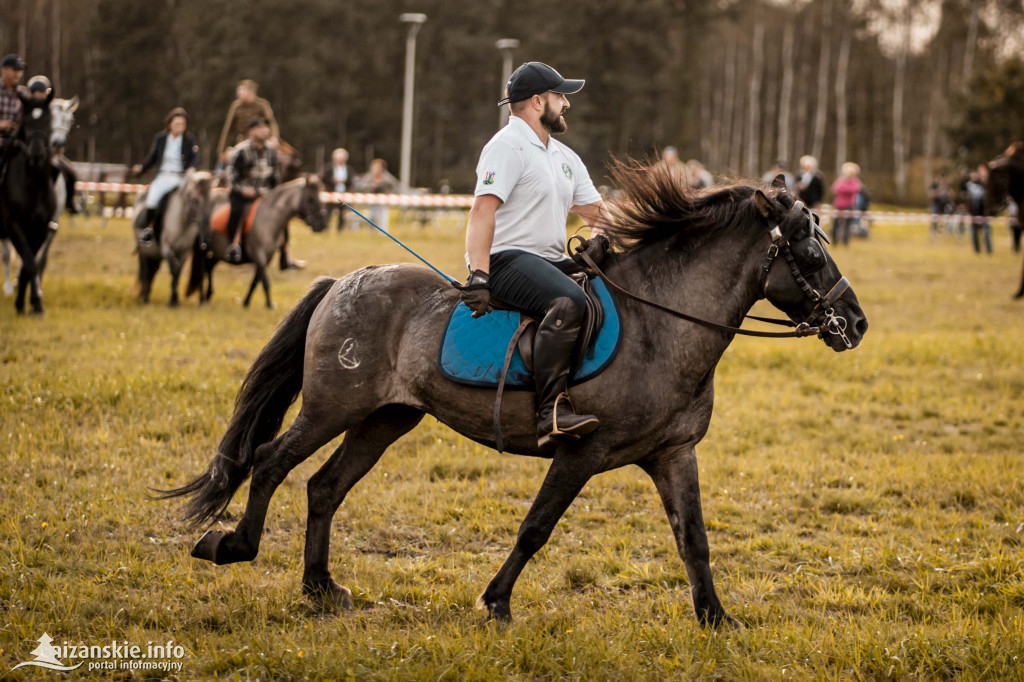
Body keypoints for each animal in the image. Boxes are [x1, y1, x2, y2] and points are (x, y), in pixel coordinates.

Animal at [2, 96, 76, 294]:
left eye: (69, 120)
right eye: (53, 117)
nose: (58, 144)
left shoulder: (51, 223)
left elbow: (39, 260)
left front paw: (36, 288)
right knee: (6, 254)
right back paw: (8, 286)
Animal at [163, 166, 868, 622]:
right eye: (810, 252)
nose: (855, 323)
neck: (662, 323)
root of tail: (347, 280)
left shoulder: (674, 454)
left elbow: (692, 538)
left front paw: (717, 619)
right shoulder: (581, 454)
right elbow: (535, 529)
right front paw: (496, 601)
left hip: (386, 418)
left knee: (324, 487)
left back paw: (319, 587)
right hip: (333, 407)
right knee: (271, 463)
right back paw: (232, 546)